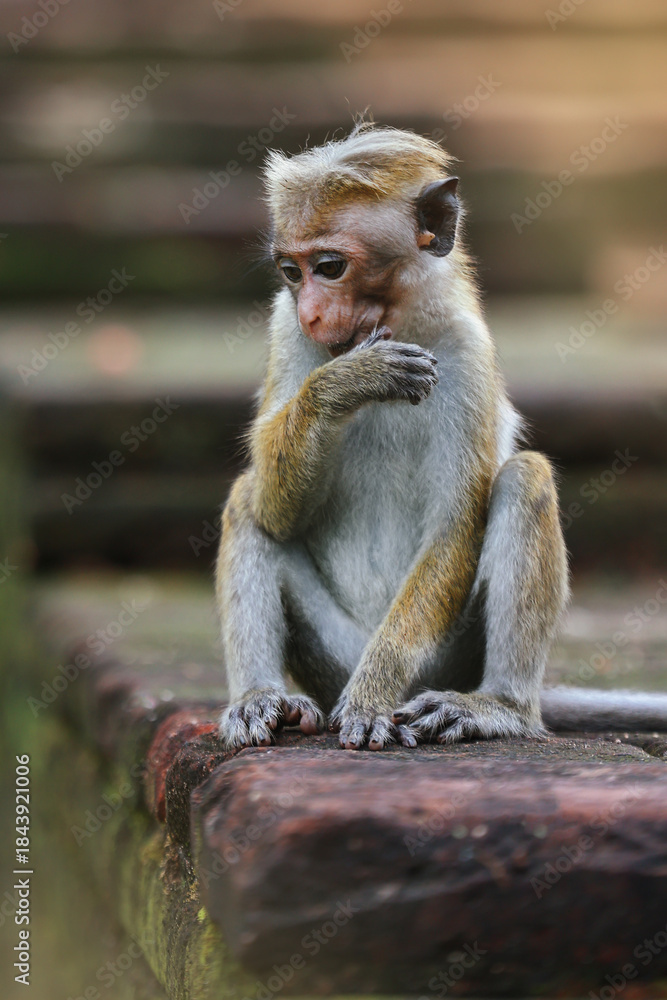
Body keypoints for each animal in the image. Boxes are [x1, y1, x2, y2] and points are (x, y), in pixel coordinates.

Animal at [216, 122, 667, 751]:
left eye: (329, 266)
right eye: (291, 273)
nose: (310, 313)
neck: (400, 322)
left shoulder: (466, 350)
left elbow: (455, 526)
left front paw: (372, 694)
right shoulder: (285, 330)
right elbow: (278, 513)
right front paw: (346, 382)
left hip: (447, 658)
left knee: (525, 478)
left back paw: (496, 706)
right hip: (330, 656)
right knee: (247, 502)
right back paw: (262, 698)